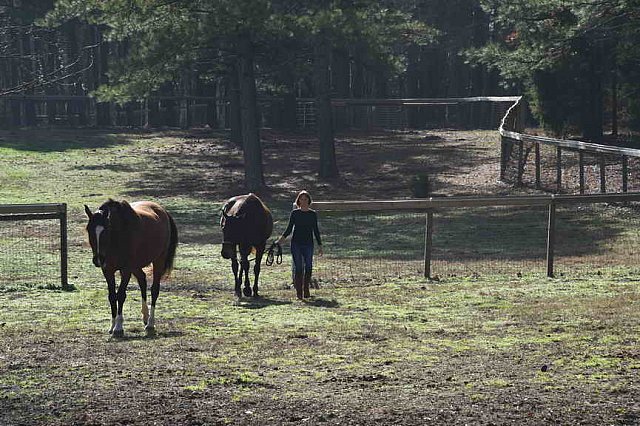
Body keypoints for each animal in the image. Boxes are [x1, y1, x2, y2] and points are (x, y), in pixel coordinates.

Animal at [84, 199, 178, 336]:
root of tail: (163, 211)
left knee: (154, 290)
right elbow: (112, 296)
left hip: (158, 261)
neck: (118, 237)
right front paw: (112, 325)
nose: (98, 259)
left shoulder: (126, 270)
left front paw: (118, 327)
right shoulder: (107, 270)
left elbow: (121, 295)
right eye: (89, 230)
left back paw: (150, 323)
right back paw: (145, 316)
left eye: (106, 231)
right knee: (142, 280)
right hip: (136, 266)